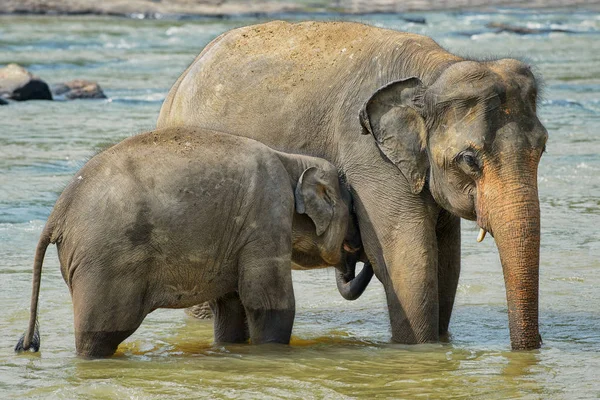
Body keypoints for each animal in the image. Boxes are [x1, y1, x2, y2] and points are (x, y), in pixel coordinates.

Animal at [15, 127, 352, 356]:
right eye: (352, 208)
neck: (291, 160)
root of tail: (58, 211)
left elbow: (230, 307)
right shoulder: (267, 216)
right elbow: (268, 303)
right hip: (103, 264)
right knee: (100, 334)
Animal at [158, 21, 548, 350]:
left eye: (543, 147)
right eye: (468, 159)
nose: (533, 351)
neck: (434, 71)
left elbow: (447, 262)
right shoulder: (370, 158)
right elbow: (407, 262)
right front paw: (420, 351)